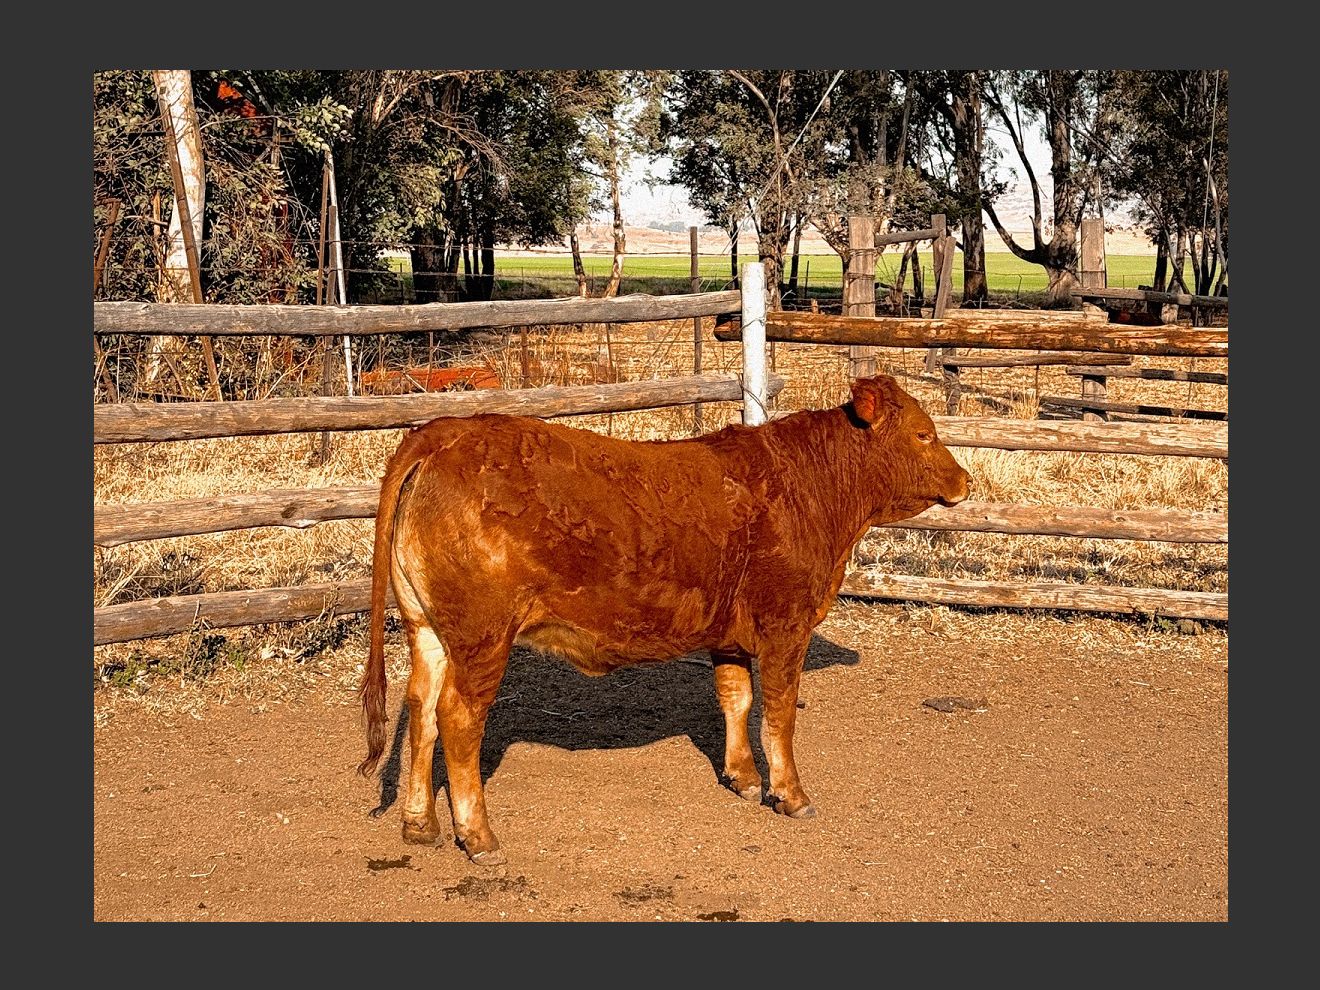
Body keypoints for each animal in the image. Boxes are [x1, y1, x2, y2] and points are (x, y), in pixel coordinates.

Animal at [358, 374, 971, 864]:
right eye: (924, 434)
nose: (965, 479)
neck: (810, 492)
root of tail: (444, 432)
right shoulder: (785, 624)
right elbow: (778, 715)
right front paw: (790, 795)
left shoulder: (729, 633)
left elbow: (736, 699)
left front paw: (744, 779)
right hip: (483, 637)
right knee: (458, 718)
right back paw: (479, 837)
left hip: (428, 629)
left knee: (420, 708)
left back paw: (420, 824)